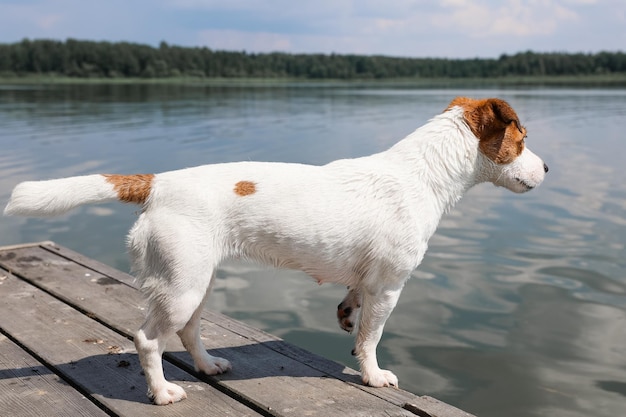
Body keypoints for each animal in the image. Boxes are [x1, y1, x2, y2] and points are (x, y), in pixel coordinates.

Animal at [3, 96, 544, 404]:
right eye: (522, 139)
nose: (547, 169)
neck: (423, 173)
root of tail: (158, 183)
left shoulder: (369, 282)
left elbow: (356, 316)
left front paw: (347, 317)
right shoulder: (390, 286)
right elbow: (372, 339)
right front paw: (373, 376)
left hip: (195, 281)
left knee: (189, 332)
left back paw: (208, 367)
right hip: (180, 287)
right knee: (148, 340)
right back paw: (163, 393)